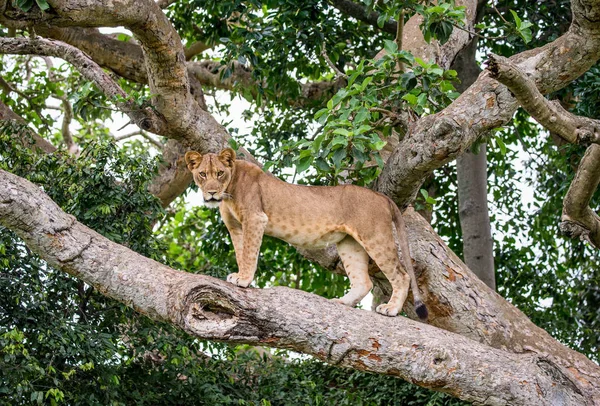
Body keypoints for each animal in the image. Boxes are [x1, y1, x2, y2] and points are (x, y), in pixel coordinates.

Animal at [186, 147, 426, 318]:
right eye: (202, 175)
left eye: (219, 173)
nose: (211, 193)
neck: (230, 188)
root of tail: (382, 197)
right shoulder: (236, 227)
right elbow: (240, 252)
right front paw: (240, 276)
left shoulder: (255, 218)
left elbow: (249, 253)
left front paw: (243, 280)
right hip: (349, 243)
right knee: (363, 281)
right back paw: (342, 302)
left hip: (375, 237)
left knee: (402, 275)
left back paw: (391, 309)